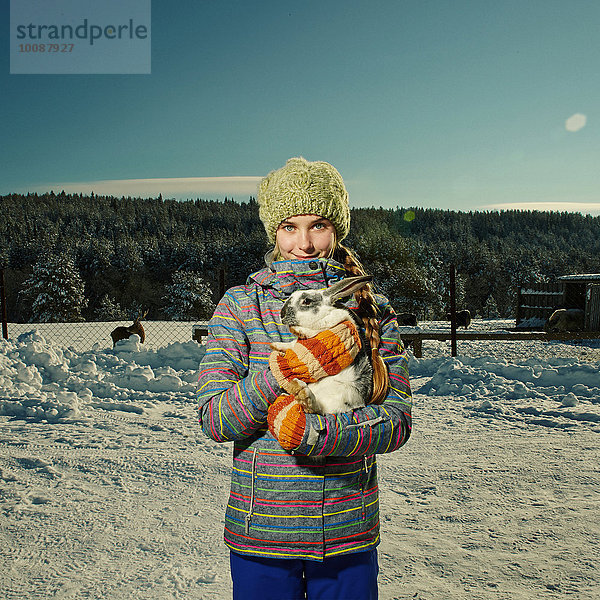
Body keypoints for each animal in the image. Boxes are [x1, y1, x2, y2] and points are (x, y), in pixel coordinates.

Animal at [270, 276, 372, 412]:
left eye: (307, 301)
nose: (282, 314)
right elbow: (292, 343)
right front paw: (276, 345)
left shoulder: (334, 322)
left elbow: (312, 331)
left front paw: (297, 330)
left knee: (316, 409)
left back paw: (303, 394)